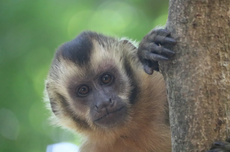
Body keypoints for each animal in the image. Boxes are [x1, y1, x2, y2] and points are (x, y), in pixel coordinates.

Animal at [44, 29, 227, 151]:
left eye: (106, 79)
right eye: (83, 90)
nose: (103, 103)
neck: (131, 129)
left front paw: (148, 52)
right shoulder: (94, 148)